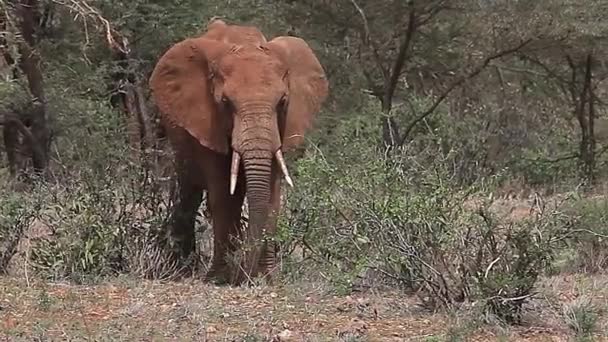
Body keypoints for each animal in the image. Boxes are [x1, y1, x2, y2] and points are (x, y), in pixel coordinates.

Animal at [147, 19, 328, 286]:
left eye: (283, 102)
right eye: (225, 103)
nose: (247, 276)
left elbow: (272, 195)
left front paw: (268, 278)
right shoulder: (207, 123)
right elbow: (223, 194)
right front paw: (219, 278)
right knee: (189, 193)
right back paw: (183, 269)